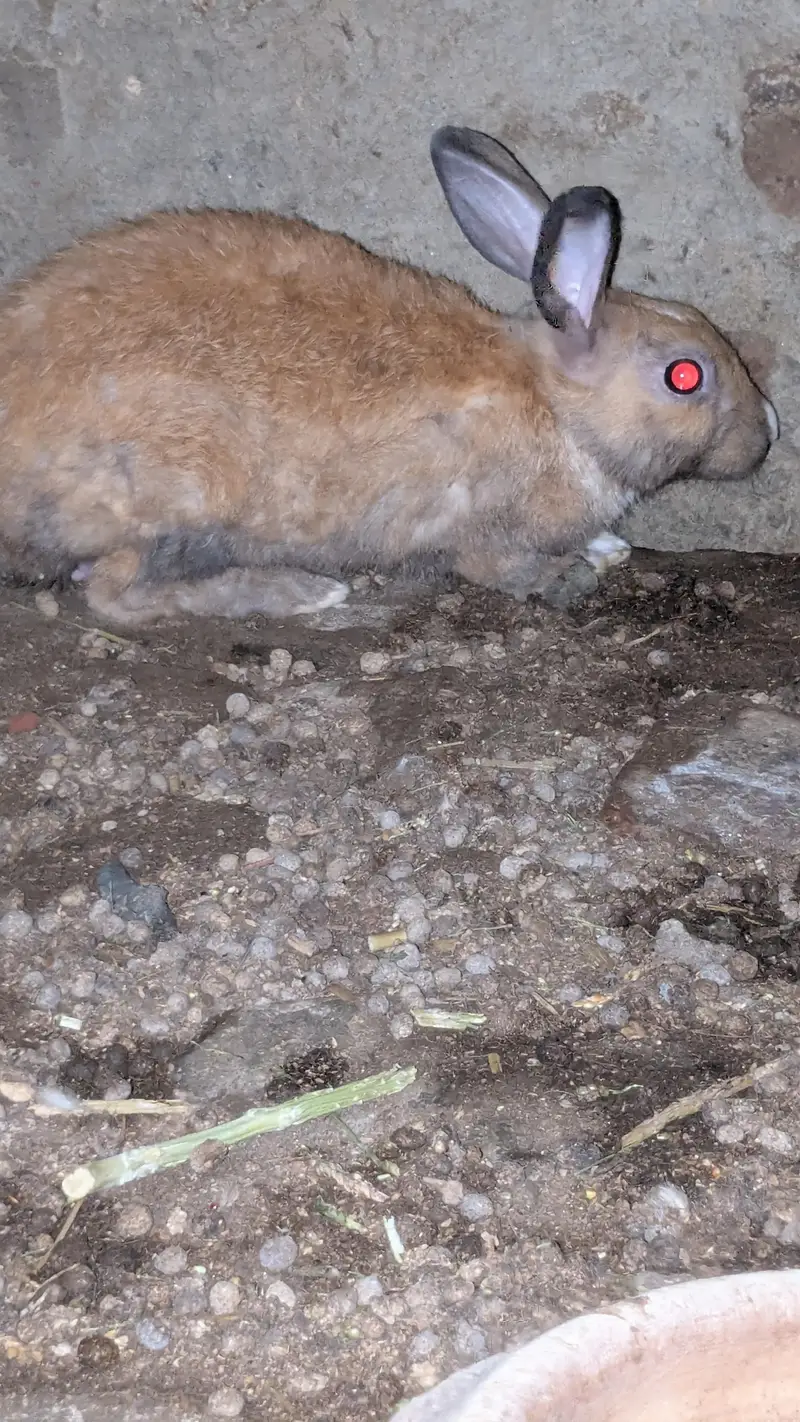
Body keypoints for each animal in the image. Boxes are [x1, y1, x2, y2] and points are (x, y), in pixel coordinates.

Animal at [0, 126, 778, 628]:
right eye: (686, 377)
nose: (770, 428)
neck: (558, 410)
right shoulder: (480, 530)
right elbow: (498, 569)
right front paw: (566, 575)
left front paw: (608, 546)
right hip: (172, 500)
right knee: (112, 594)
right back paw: (299, 593)